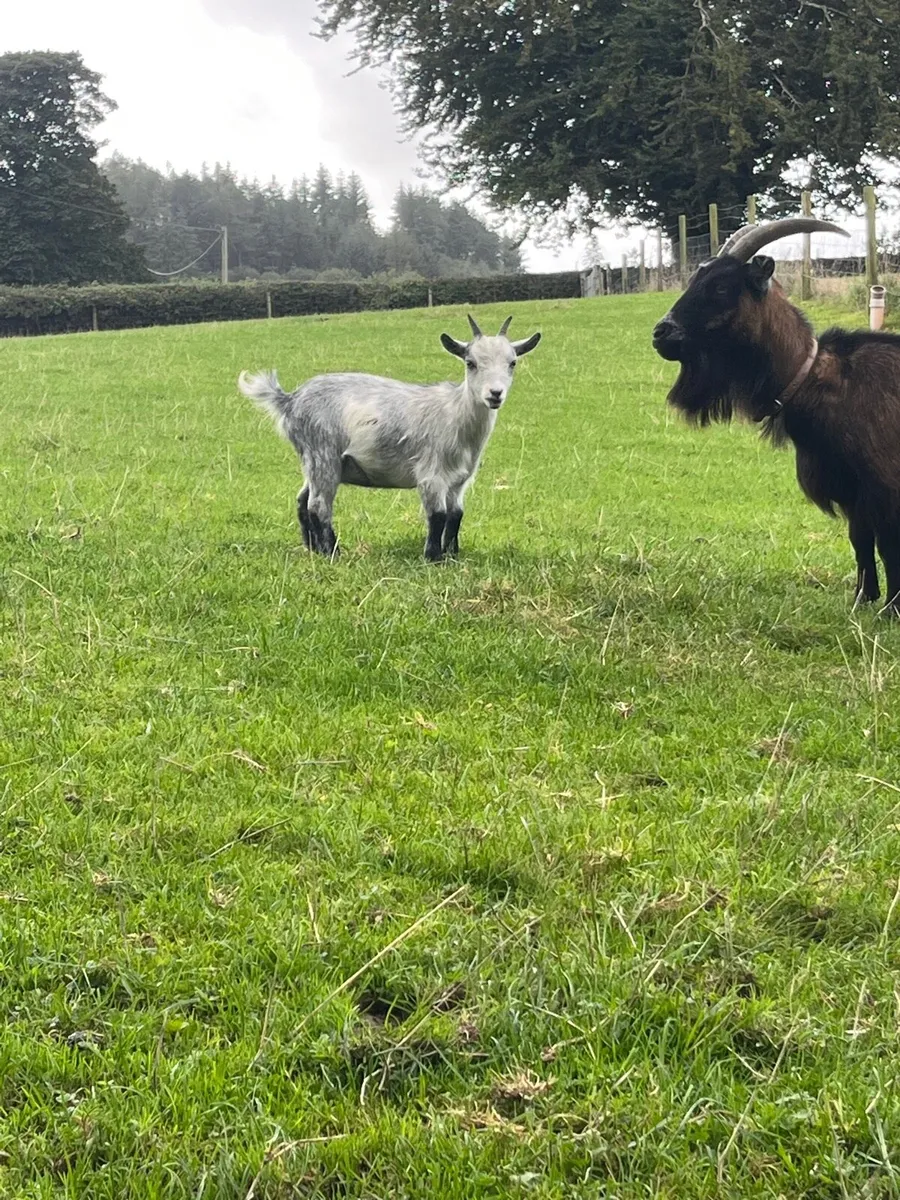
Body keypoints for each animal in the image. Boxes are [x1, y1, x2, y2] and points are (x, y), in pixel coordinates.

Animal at [239, 314, 541, 561]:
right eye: (471, 363)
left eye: (512, 363)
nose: (495, 394)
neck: (455, 413)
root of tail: (290, 400)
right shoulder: (431, 474)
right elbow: (438, 515)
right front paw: (433, 558)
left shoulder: (460, 480)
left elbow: (455, 515)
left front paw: (453, 555)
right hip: (322, 453)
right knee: (319, 505)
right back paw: (333, 552)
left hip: (315, 462)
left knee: (303, 500)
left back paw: (312, 548)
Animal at [652, 216, 900, 614]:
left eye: (721, 286)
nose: (661, 333)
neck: (815, 377)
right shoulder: (850, 489)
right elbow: (860, 541)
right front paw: (862, 600)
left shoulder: (884, 485)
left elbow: (888, 545)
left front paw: (891, 609)